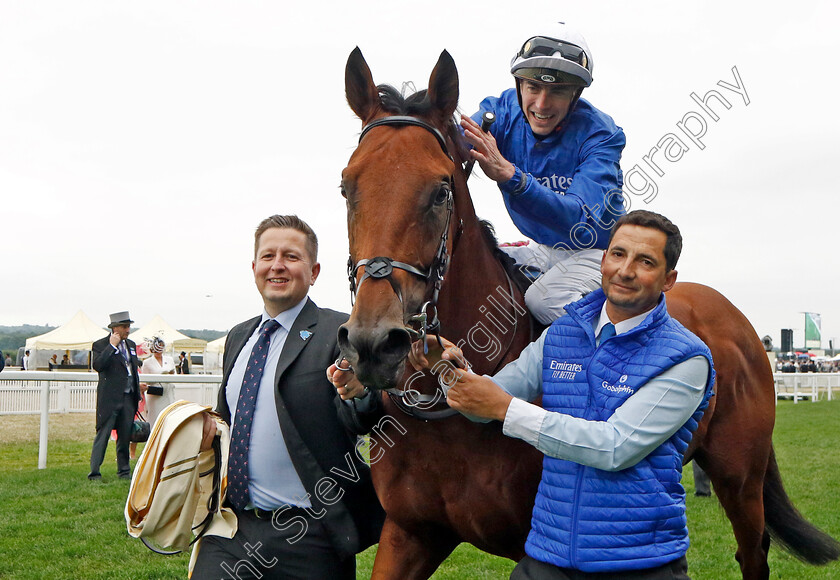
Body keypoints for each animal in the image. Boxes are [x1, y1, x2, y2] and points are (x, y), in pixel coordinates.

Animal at [338, 47, 836, 576]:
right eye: (347, 187)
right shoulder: (410, 533)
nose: (373, 343)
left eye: (439, 190)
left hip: (740, 473)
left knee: (752, 549)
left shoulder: (537, 546)